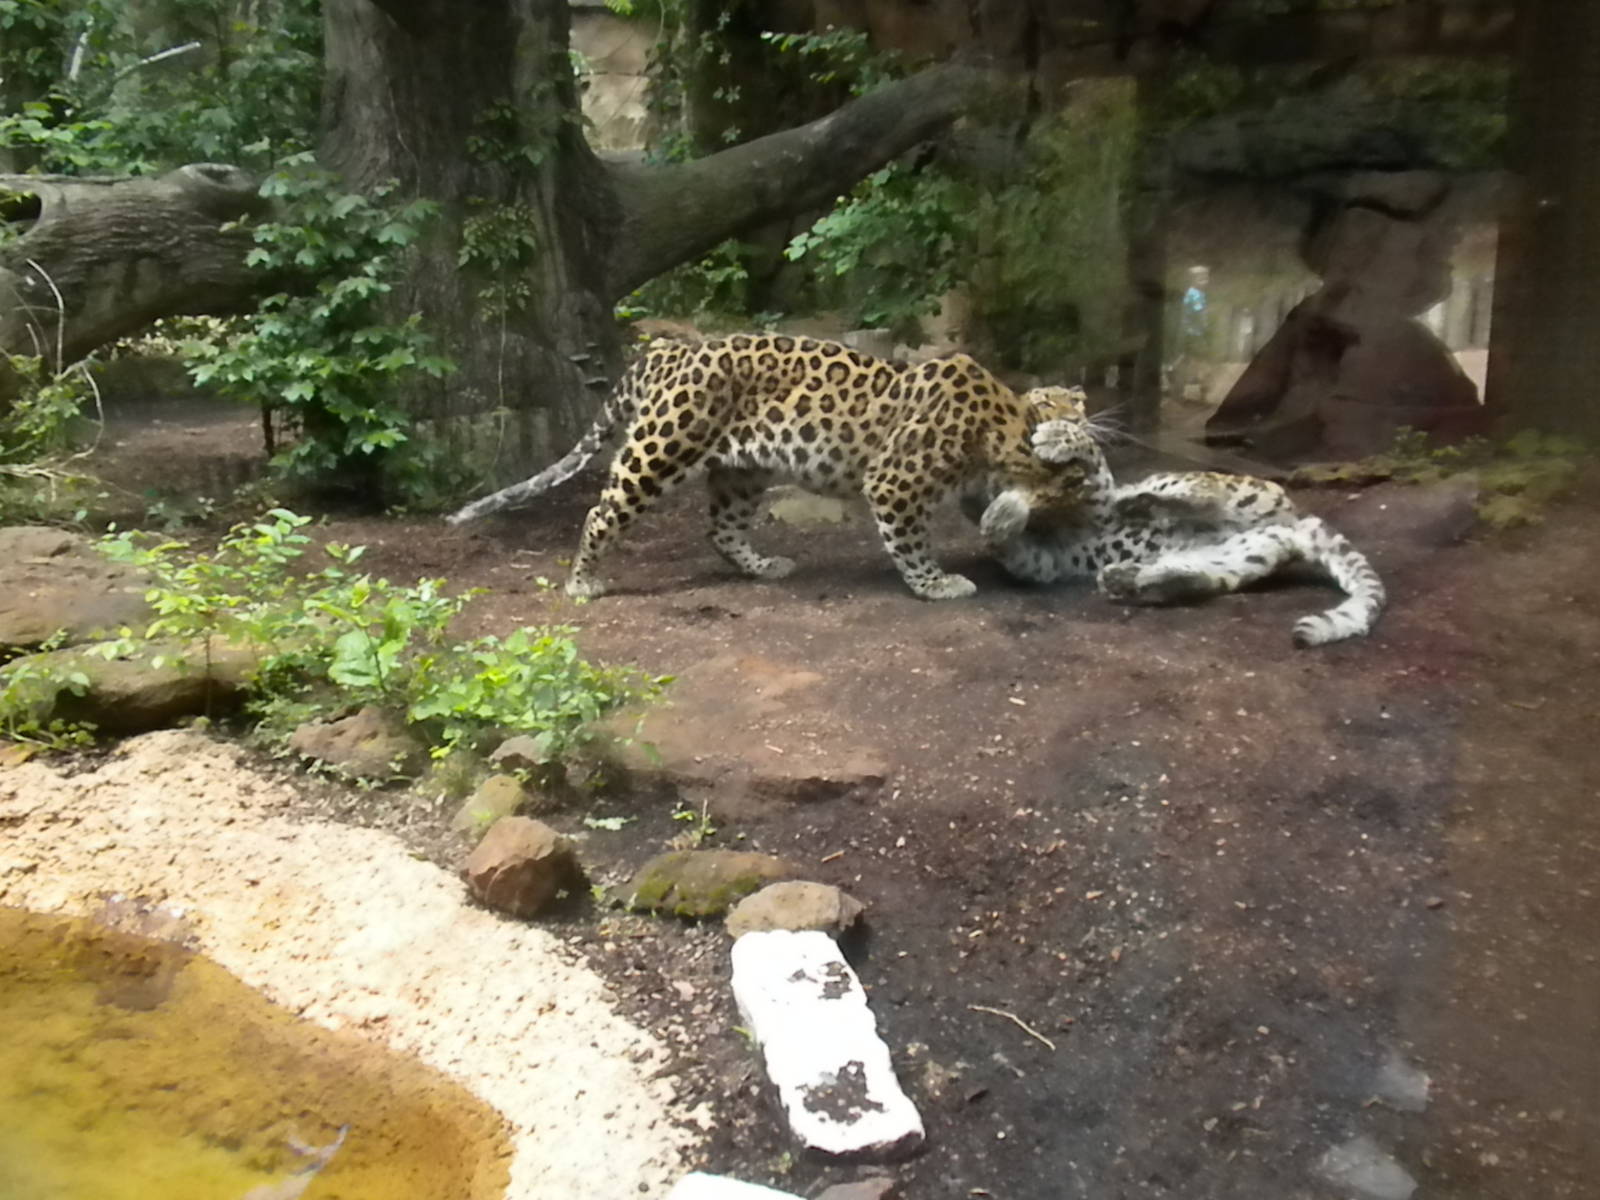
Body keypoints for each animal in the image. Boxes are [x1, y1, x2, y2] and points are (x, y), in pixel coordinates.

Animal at [446, 334, 1096, 601]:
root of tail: (664, 351)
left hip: (742, 471)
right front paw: (937, 585)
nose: (1089, 408)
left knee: (721, 528)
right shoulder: (893, 481)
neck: (1000, 421)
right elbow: (911, 542)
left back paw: (765, 566)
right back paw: (583, 582)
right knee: (601, 511)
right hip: (662, 446)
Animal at [967, 386, 1386, 647]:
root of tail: (1294, 520)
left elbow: (1093, 457)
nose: (1072, 417)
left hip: (1241, 498)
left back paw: (1145, 502)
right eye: (1047, 402)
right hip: (1239, 557)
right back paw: (1127, 576)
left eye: (1074, 402)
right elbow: (1004, 541)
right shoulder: (1044, 560)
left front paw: (1059, 438)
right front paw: (999, 510)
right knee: (1195, 579)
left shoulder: (1097, 501)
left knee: (1205, 490)